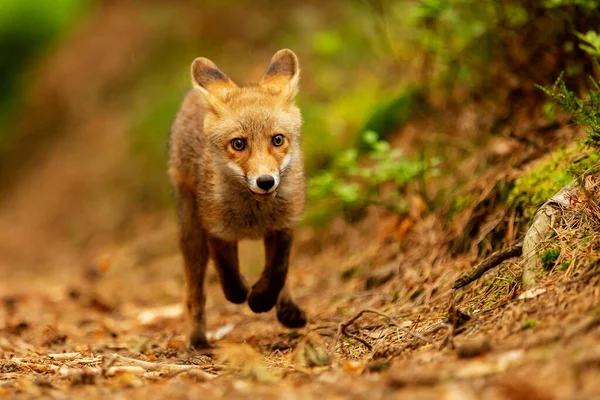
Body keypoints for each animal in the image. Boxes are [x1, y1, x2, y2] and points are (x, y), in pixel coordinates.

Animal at [169, 48, 310, 348]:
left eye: (277, 140)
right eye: (238, 144)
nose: (265, 181)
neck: (253, 217)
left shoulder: (284, 225)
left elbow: (278, 271)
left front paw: (261, 300)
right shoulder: (215, 228)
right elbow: (230, 278)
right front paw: (246, 291)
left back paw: (287, 309)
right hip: (191, 234)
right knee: (194, 294)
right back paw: (198, 339)